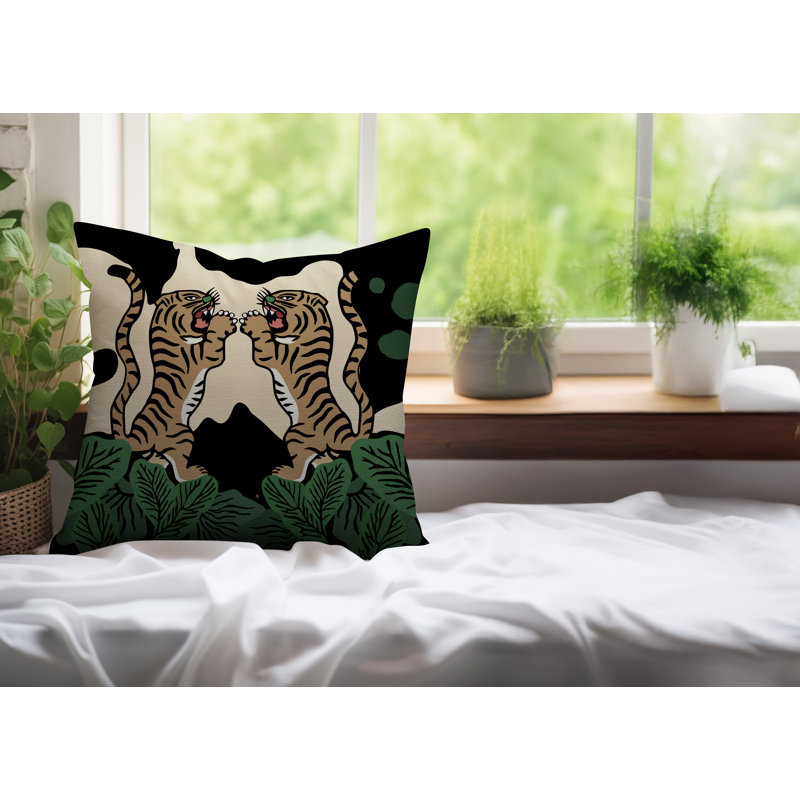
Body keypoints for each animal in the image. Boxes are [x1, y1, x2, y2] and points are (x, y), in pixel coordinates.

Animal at [108, 264, 237, 482]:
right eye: (191, 297)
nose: (209, 298)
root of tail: (139, 434)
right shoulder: (201, 356)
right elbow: (213, 343)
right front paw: (224, 320)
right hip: (183, 436)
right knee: (179, 468)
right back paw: (195, 473)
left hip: (161, 449)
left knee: (154, 460)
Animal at [239, 271, 373, 481]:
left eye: (287, 297)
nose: (267, 298)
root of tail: (342, 433)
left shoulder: (276, 355)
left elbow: (264, 344)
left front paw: (252, 320)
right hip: (320, 449)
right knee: (325, 460)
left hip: (295, 435)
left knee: (300, 468)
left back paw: (284, 473)